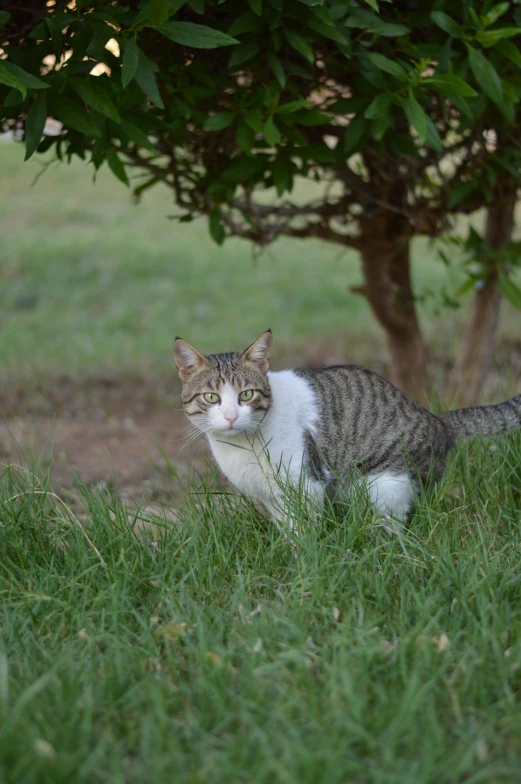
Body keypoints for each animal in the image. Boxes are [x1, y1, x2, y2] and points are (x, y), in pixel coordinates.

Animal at [175, 330, 520, 532]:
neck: (241, 447)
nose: (231, 416)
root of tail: (436, 421)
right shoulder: (271, 498)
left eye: (246, 395)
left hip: (384, 487)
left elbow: (303, 534)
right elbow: (286, 530)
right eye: (211, 398)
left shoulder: (306, 485)